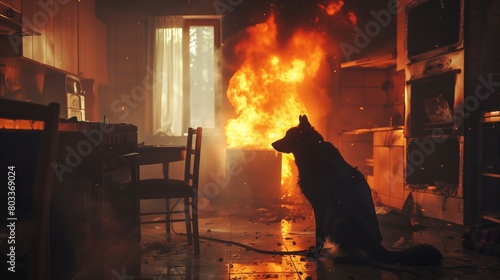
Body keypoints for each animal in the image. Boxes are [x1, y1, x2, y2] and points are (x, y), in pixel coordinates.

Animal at [274, 115, 442, 266]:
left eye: (288, 135)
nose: (272, 143)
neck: (312, 151)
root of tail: (378, 247)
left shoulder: (322, 207)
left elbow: (319, 233)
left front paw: (315, 252)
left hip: (342, 221)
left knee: (363, 258)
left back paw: (344, 259)